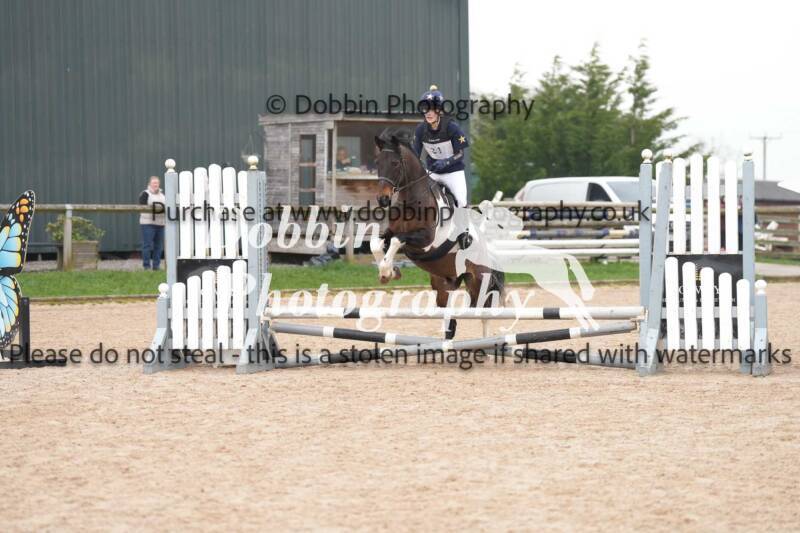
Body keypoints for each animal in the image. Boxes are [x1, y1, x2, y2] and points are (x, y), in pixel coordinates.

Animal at [371, 132, 505, 339]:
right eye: (377, 162)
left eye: (394, 163)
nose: (383, 199)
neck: (413, 201)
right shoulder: (391, 233)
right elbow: (377, 244)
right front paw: (390, 272)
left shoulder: (425, 240)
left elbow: (396, 240)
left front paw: (387, 272)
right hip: (443, 285)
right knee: (451, 322)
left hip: (480, 279)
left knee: (485, 313)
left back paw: (489, 342)